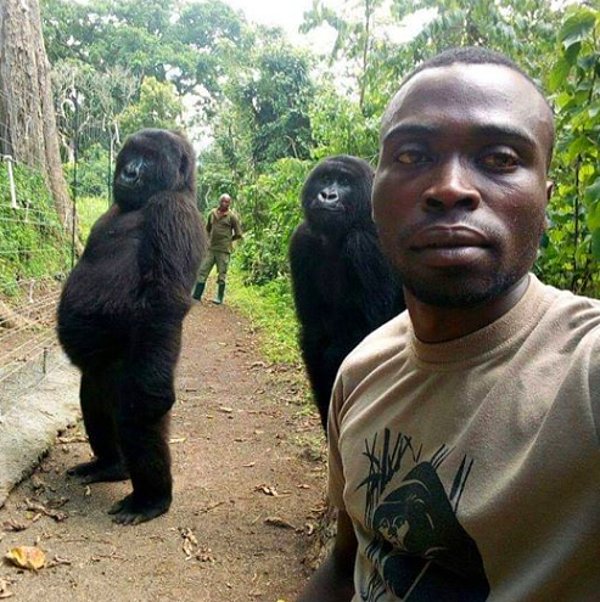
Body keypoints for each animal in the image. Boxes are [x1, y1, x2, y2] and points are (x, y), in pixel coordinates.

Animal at [57, 129, 205, 524]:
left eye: (150, 158)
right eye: (132, 153)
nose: (130, 172)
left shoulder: (172, 212)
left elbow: (163, 302)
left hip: (133, 371)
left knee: (137, 421)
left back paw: (151, 499)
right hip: (98, 374)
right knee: (93, 401)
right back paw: (110, 465)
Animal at [290, 154, 404, 426]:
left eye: (343, 182)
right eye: (325, 178)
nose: (327, 195)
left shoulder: (365, 246)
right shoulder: (302, 240)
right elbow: (314, 337)